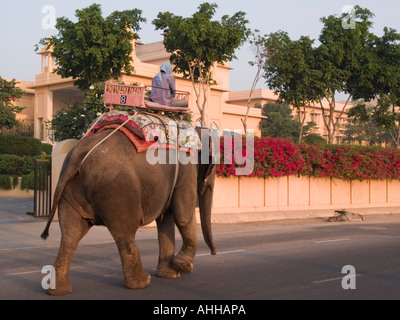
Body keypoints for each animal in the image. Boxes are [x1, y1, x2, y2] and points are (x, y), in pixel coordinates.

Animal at [40, 124, 216, 296]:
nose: (214, 253)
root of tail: (77, 156)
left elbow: (165, 220)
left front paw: (170, 275)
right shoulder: (186, 167)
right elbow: (183, 215)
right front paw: (183, 266)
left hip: (70, 192)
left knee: (70, 235)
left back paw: (58, 291)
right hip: (117, 191)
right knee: (125, 233)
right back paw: (142, 282)